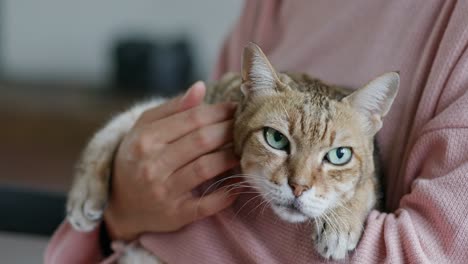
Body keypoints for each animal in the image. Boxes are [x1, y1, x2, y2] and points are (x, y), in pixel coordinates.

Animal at [67, 43, 400, 262]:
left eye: (339, 155)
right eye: (276, 139)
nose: (298, 187)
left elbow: (367, 185)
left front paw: (341, 223)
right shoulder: (187, 103)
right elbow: (112, 130)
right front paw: (84, 195)